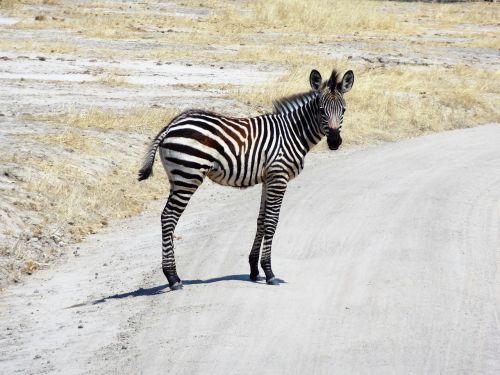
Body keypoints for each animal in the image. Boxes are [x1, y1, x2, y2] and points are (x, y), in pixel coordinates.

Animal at [139, 68, 354, 290]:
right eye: (321, 110)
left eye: (344, 110)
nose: (335, 142)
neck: (293, 133)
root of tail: (172, 124)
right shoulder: (279, 177)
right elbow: (271, 222)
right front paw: (269, 272)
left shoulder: (268, 178)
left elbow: (261, 221)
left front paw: (254, 269)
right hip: (188, 175)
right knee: (169, 217)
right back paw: (172, 277)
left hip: (177, 177)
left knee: (167, 216)